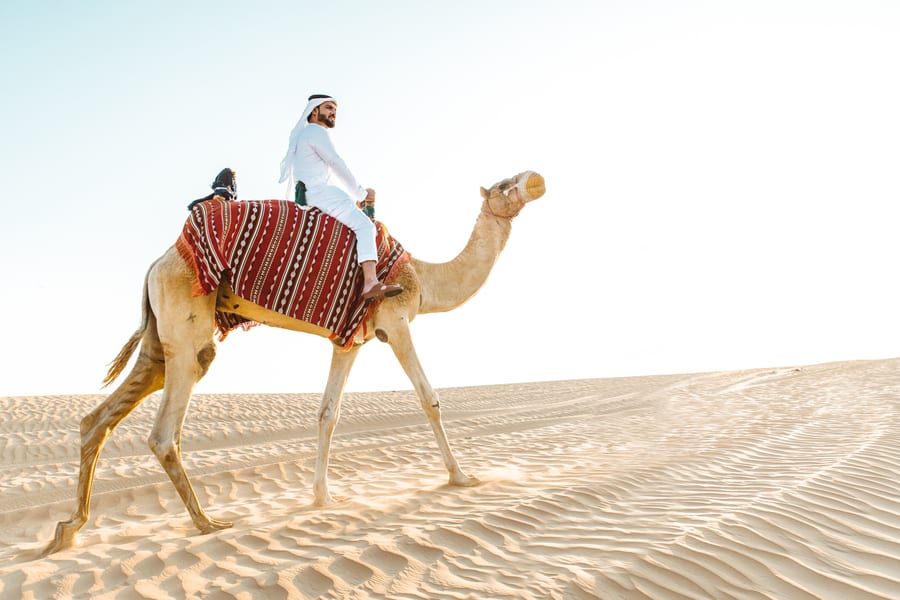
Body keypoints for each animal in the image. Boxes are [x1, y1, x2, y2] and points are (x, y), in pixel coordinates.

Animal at [42, 170, 546, 555]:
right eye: (505, 184)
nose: (534, 179)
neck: (423, 276)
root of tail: (156, 262)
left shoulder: (349, 341)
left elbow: (328, 413)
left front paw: (323, 497)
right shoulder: (396, 321)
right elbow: (429, 399)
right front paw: (462, 477)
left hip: (158, 340)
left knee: (99, 418)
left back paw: (68, 530)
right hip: (186, 327)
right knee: (165, 429)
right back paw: (207, 522)